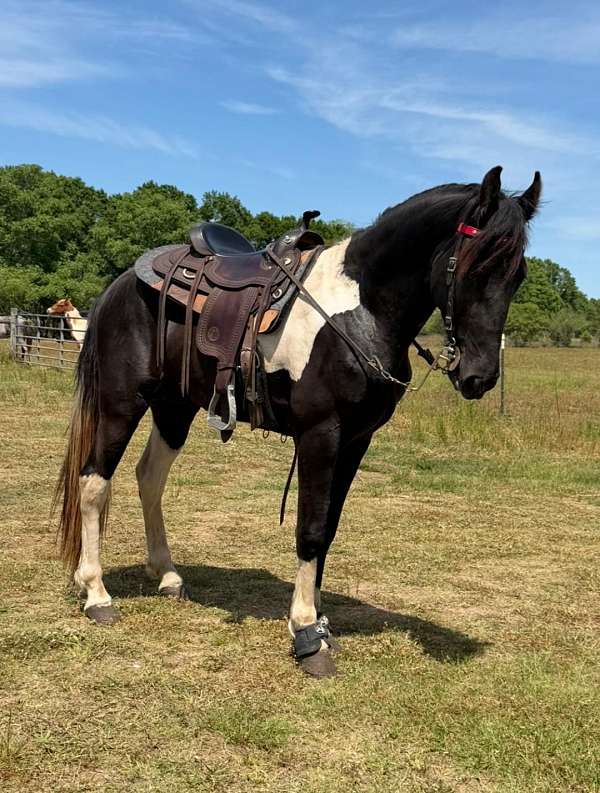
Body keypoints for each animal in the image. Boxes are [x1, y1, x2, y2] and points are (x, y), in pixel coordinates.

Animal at [54, 166, 541, 678]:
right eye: (476, 266)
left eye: (518, 275)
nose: (479, 377)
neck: (361, 310)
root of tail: (119, 285)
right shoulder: (320, 435)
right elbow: (309, 528)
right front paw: (308, 632)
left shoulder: (356, 441)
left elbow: (329, 527)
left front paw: (321, 619)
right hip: (121, 403)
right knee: (94, 481)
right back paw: (96, 593)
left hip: (174, 407)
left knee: (149, 477)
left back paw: (167, 576)